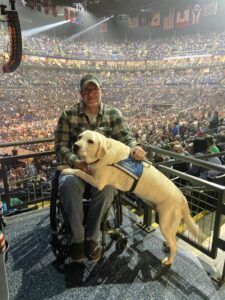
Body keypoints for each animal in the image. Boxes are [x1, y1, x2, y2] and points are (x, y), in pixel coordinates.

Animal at [61, 130, 204, 266]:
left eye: (90, 141)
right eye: (79, 137)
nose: (75, 145)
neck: (106, 154)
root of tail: (182, 198)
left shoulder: (98, 182)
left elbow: (80, 172)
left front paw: (67, 170)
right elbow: (84, 169)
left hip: (165, 223)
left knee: (174, 246)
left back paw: (168, 261)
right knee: (173, 240)